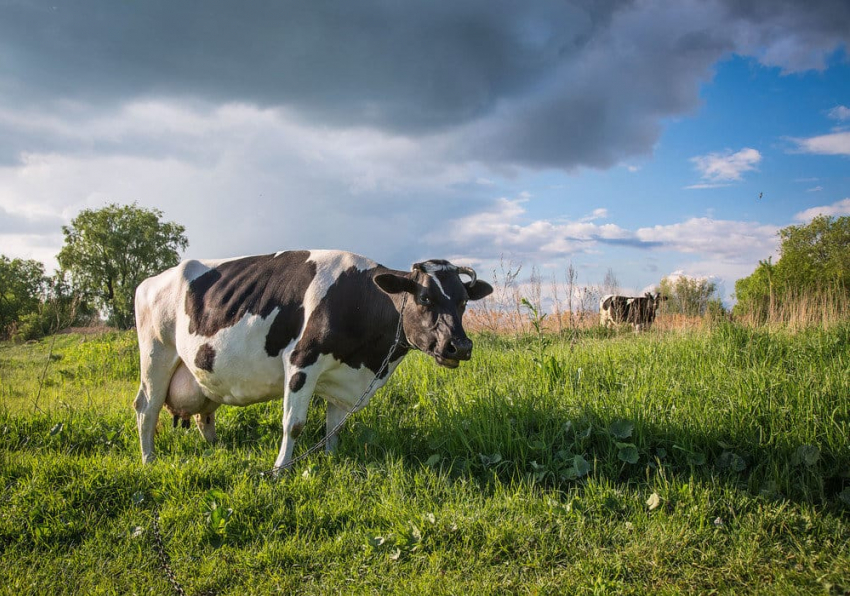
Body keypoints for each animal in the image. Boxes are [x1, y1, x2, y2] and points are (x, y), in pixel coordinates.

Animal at [131, 249, 490, 472]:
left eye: (463, 302)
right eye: (425, 298)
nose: (459, 346)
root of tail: (151, 280)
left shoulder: (344, 377)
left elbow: (334, 428)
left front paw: (331, 460)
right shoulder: (302, 362)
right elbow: (294, 424)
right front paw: (280, 469)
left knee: (204, 414)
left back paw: (215, 448)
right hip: (156, 352)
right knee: (146, 406)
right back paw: (149, 459)